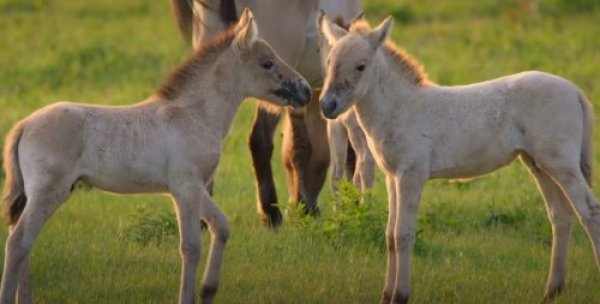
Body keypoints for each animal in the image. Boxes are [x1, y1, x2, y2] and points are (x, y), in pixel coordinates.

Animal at [0, 10, 310, 304]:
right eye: (267, 63)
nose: (306, 90)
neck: (194, 115)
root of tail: (23, 125)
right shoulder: (185, 188)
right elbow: (191, 246)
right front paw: (188, 297)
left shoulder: (194, 186)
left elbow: (221, 225)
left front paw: (208, 291)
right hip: (49, 191)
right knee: (18, 243)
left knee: (24, 242)